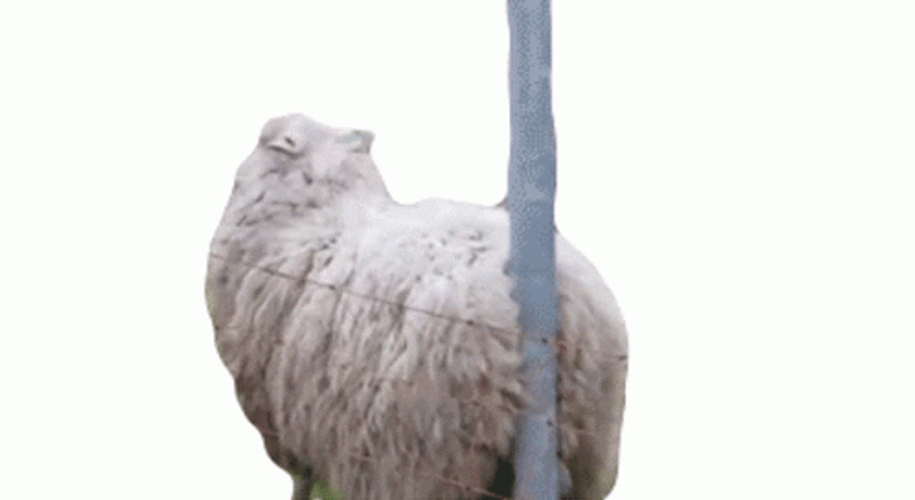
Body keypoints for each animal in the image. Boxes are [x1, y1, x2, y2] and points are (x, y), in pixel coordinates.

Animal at [205, 114, 628, 499]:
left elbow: (301, 481)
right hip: (588, 443)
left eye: (265, 141)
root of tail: (559, 297)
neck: (312, 210)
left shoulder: (278, 413)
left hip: (429, 450)